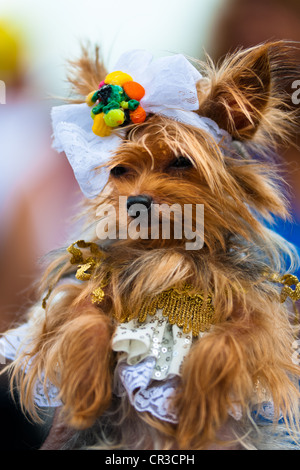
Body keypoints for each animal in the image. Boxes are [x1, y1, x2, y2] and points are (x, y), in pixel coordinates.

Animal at [1, 42, 300, 450]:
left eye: (181, 162)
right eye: (119, 171)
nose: (136, 202)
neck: (169, 250)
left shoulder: (259, 320)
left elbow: (229, 342)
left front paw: (197, 410)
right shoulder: (83, 290)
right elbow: (87, 318)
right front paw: (85, 391)